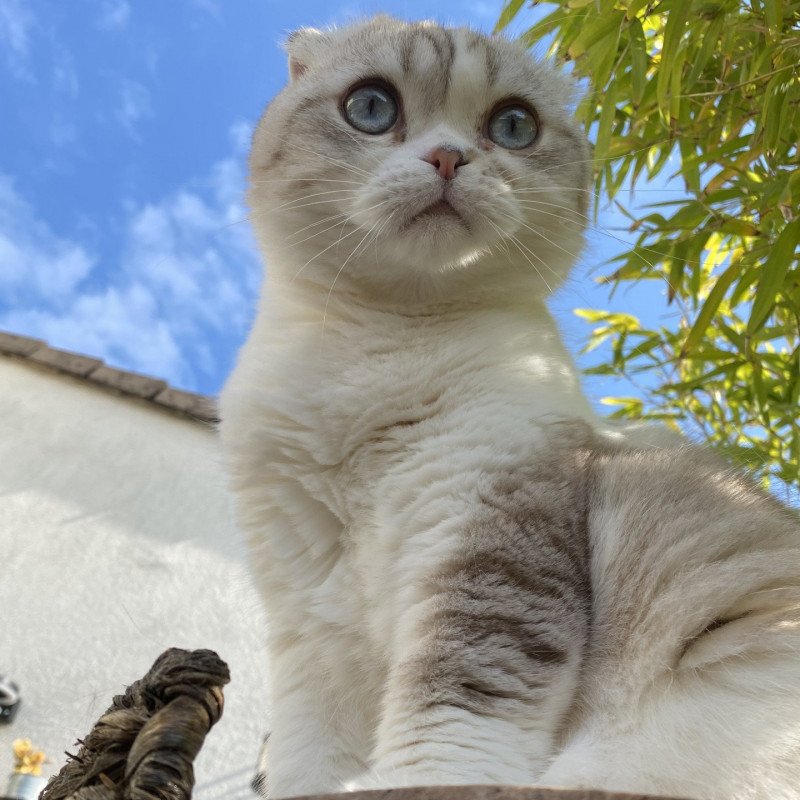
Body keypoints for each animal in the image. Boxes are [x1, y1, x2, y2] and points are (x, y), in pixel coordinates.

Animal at [219, 14, 800, 800]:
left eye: (513, 125)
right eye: (370, 107)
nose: (448, 157)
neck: (384, 339)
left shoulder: (487, 538)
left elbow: (454, 709)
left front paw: (405, 779)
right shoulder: (311, 613)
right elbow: (308, 754)